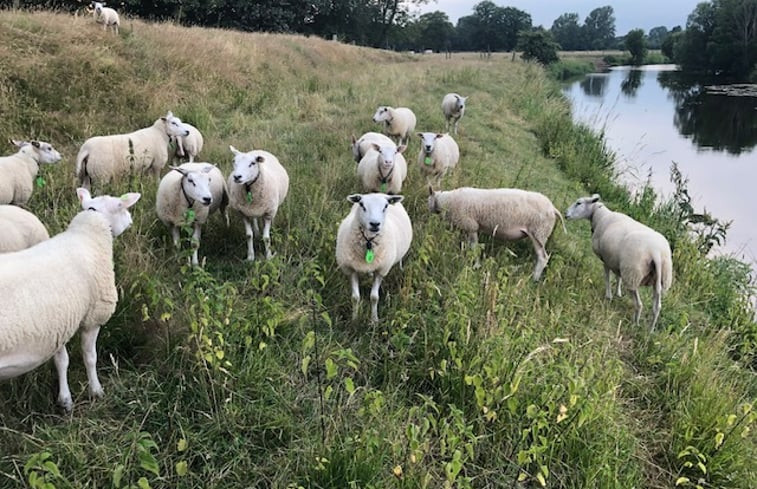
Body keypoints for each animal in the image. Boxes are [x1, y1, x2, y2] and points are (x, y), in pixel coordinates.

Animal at [0, 188, 140, 412]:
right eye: (121, 206)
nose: (130, 220)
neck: (90, 230)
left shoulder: (58, 325)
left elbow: (61, 361)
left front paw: (65, 399)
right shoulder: (93, 317)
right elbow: (90, 357)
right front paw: (96, 391)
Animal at [334, 193, 410, 322]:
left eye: (385, 206)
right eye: (361, 204)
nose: (375, 224)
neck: (369, 240)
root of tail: (381, 192)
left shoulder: (381, 270)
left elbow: (374, 297)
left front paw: (374, 320)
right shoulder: (351, 269)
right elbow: (355, 297)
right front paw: (355, 319)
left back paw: (400, 268)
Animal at [428, 186, 564, 280]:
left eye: (427, 199)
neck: (448, 201)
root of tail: (553, 209)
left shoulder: (472, 226)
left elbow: (474, 247)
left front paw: (476, 265)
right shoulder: (468, 228)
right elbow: (468, 245)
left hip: (538, 233)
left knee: (543, 257)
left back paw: (534, 278)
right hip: (540, 234)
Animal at [560, 193, 672, 328]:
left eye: (579, 203)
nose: (566, 214)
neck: (600, 216)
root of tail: (656, 252)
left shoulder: (606, 258)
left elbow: (607, 276)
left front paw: (608, 295)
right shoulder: (616, 261)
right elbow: (618, 277)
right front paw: (618, 292)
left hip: (632, 274)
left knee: (639, 304)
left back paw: (635, 324)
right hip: (660, 278)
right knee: (657, 308)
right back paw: (650, 329)